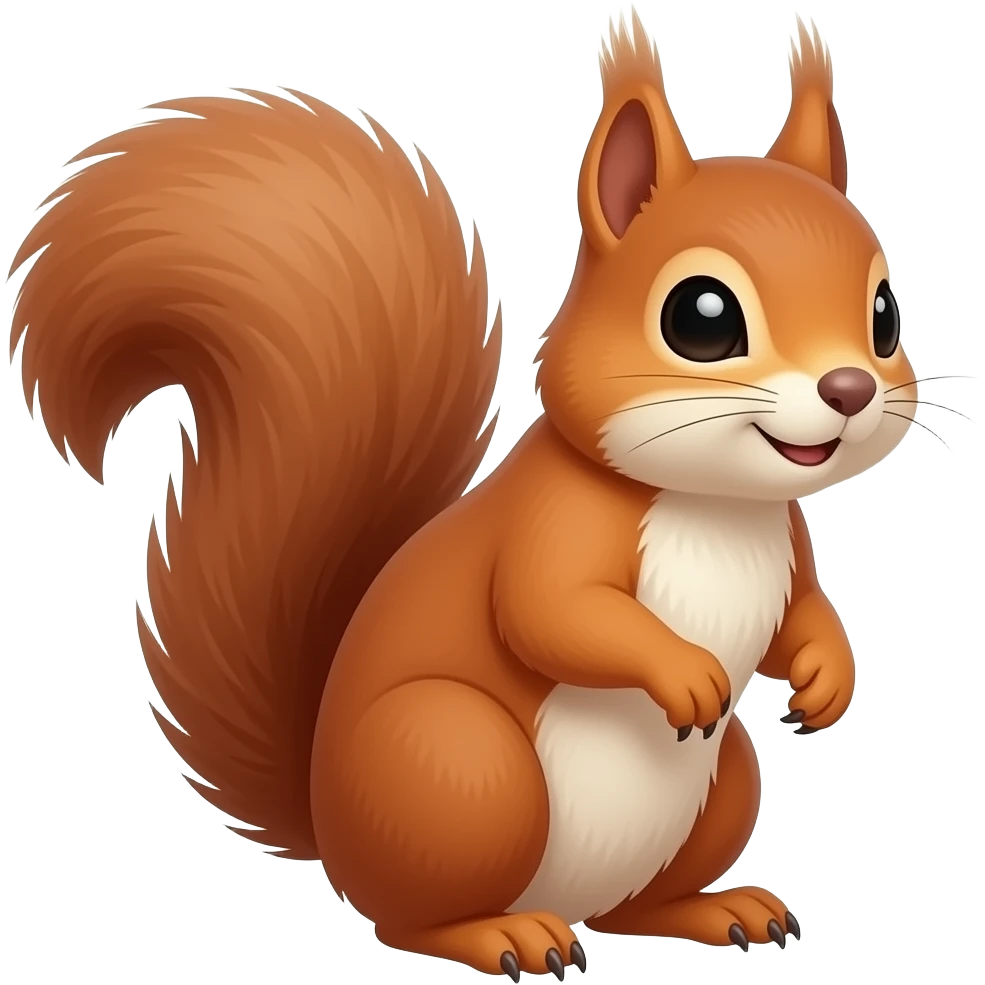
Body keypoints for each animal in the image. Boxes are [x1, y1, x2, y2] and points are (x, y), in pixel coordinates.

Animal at [9, 8, 916, 980]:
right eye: (700, 317)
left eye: (885, 314)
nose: (848, 389)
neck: (712, 504)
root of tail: (331, 829)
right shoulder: (554, 524)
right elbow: (550, 609)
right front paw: (683, 670)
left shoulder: (786, 541)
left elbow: (801, 615)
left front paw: (828, 674)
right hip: (460, 765)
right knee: (412, 917)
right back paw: (504, 935)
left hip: (721, 784)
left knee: (639, 903)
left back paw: (716, 908)